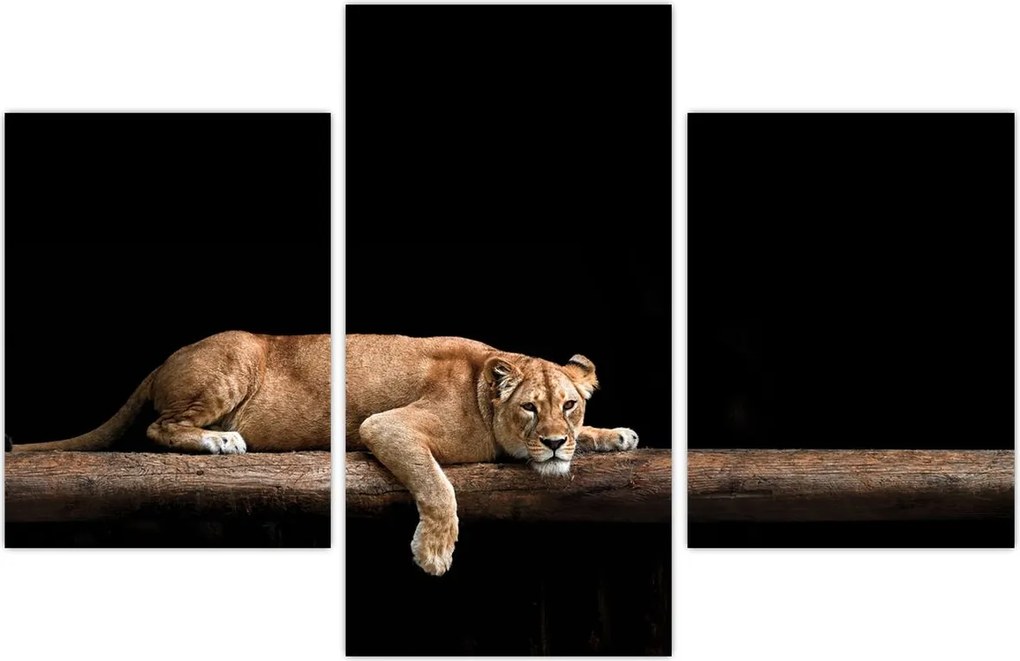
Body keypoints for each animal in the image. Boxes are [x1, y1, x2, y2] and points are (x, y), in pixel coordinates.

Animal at [346, 334, 639, 576]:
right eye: (529, 407)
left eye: (569, 405)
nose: (554, 443)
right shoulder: (383, 425)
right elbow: (437, 486)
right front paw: (434, 552)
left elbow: (580, 435)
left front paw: (618, 435)